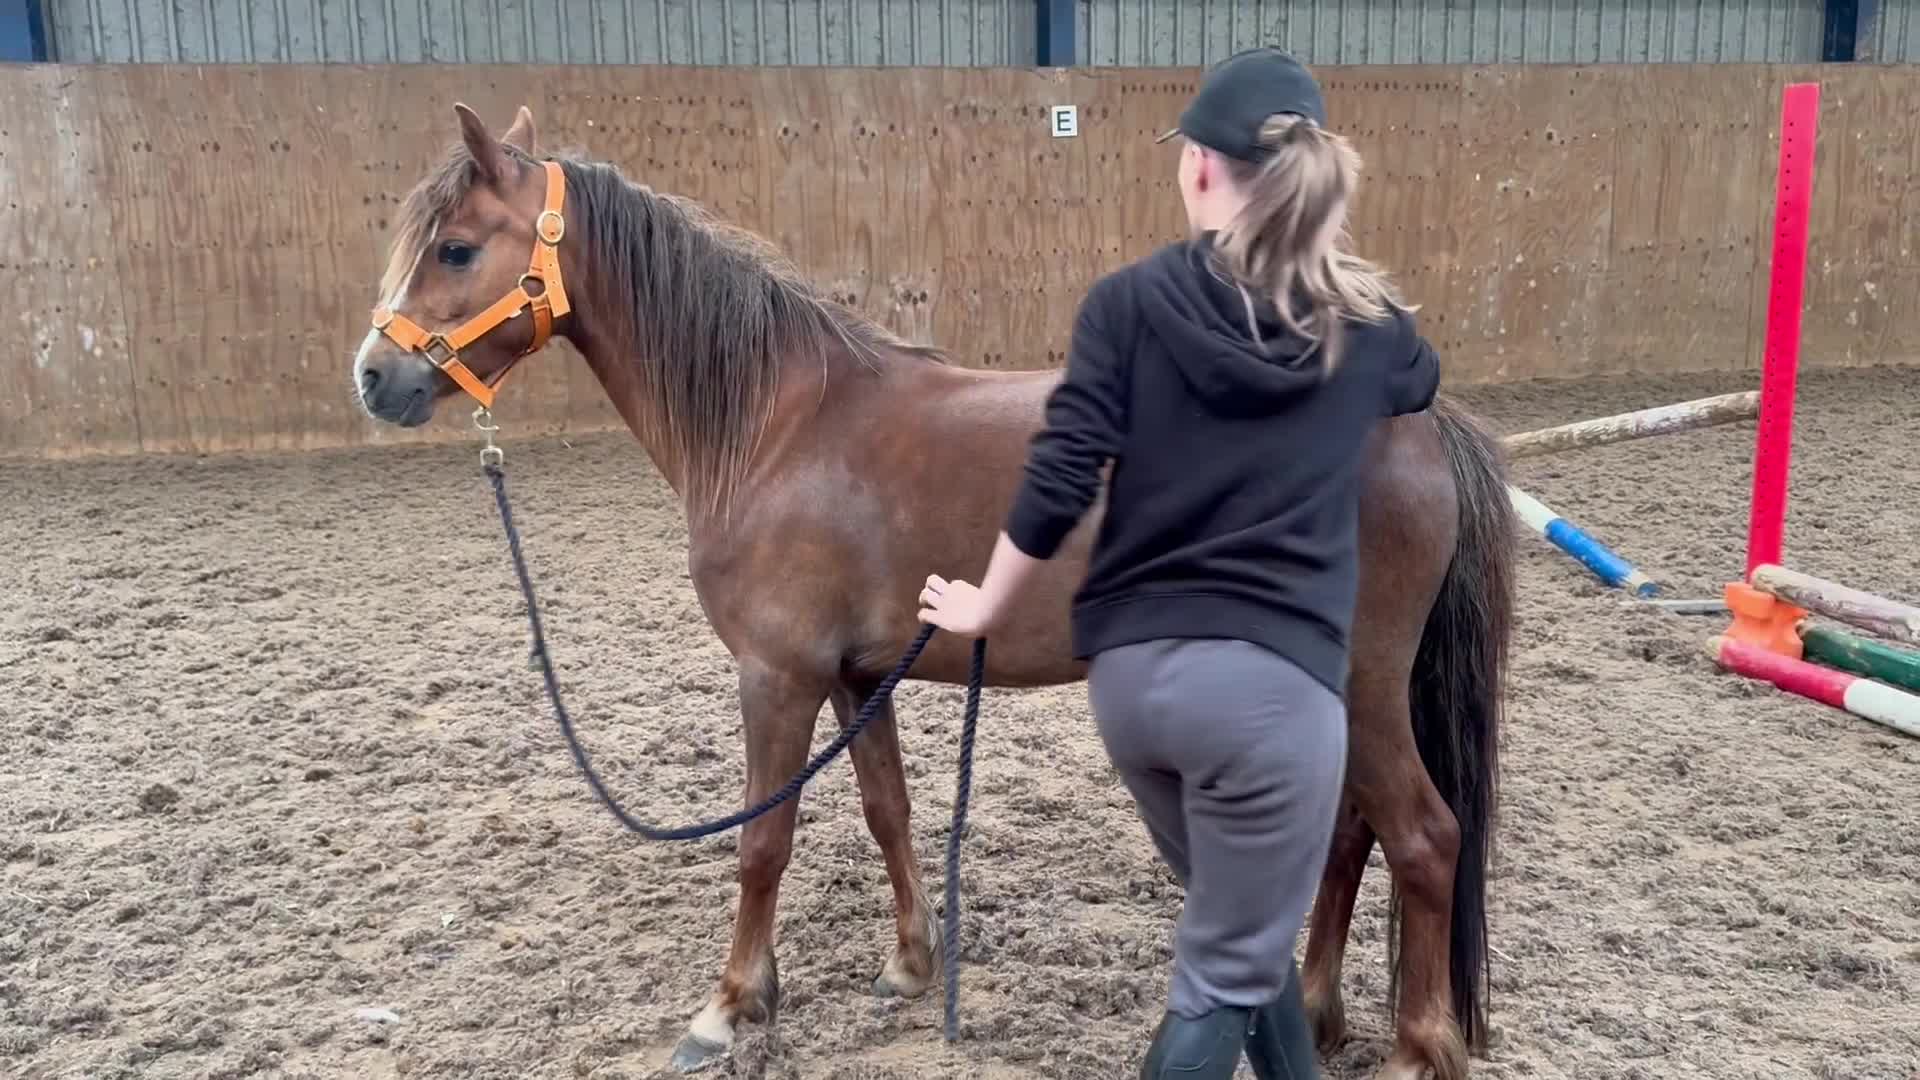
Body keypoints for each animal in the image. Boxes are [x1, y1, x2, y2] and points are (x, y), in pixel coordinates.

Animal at [349, 103, 1515, 1080]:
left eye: (458, 247)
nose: (372, 376)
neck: (778, 426)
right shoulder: (852, 672)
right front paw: (911, 966)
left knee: (1423, 837)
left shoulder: (776, 676)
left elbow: (763, 840)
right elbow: (887, 809)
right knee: (1349, 835)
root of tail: (1420, 420)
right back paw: (1316, 1010)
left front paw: (729, 1007)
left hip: (1363, 688)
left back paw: (1417, 1051)